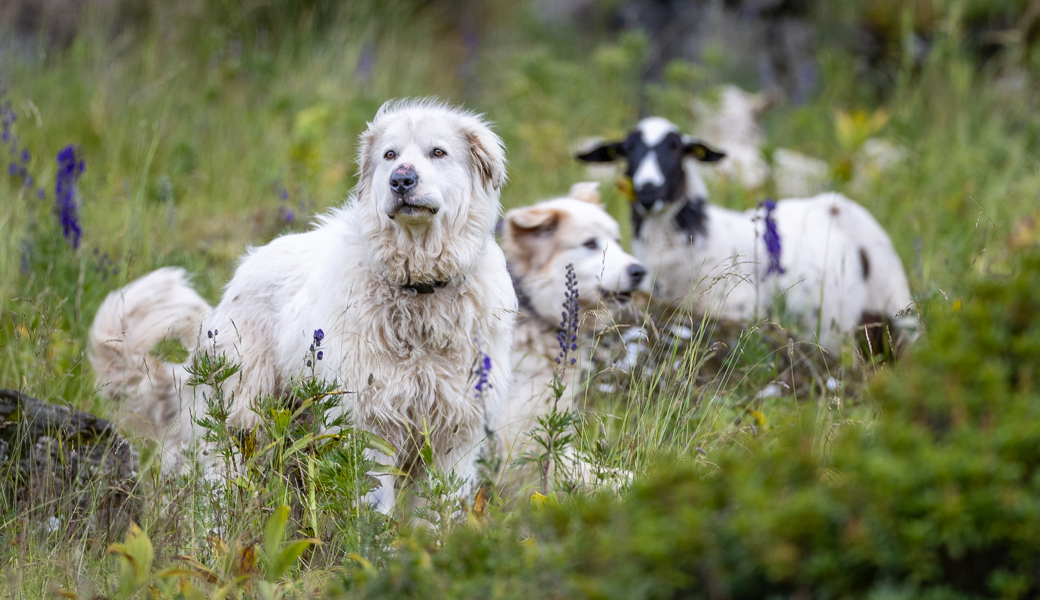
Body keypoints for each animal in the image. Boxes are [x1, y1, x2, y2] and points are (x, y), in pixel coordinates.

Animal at [89, 99, 515, 509]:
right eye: (390, 155)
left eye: (438, 152)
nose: (401, 180)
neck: (419, 289)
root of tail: (239, 277)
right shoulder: (369, 429)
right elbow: (376, 511)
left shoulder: (454, 440)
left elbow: (442, 512)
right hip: (244, 418)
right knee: (217, 484)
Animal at [578, 114, 919, 353]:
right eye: (626, 150)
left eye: (676, 148)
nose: (648, 191)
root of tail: (837, 202)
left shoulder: (738, 312)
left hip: (897, 310)